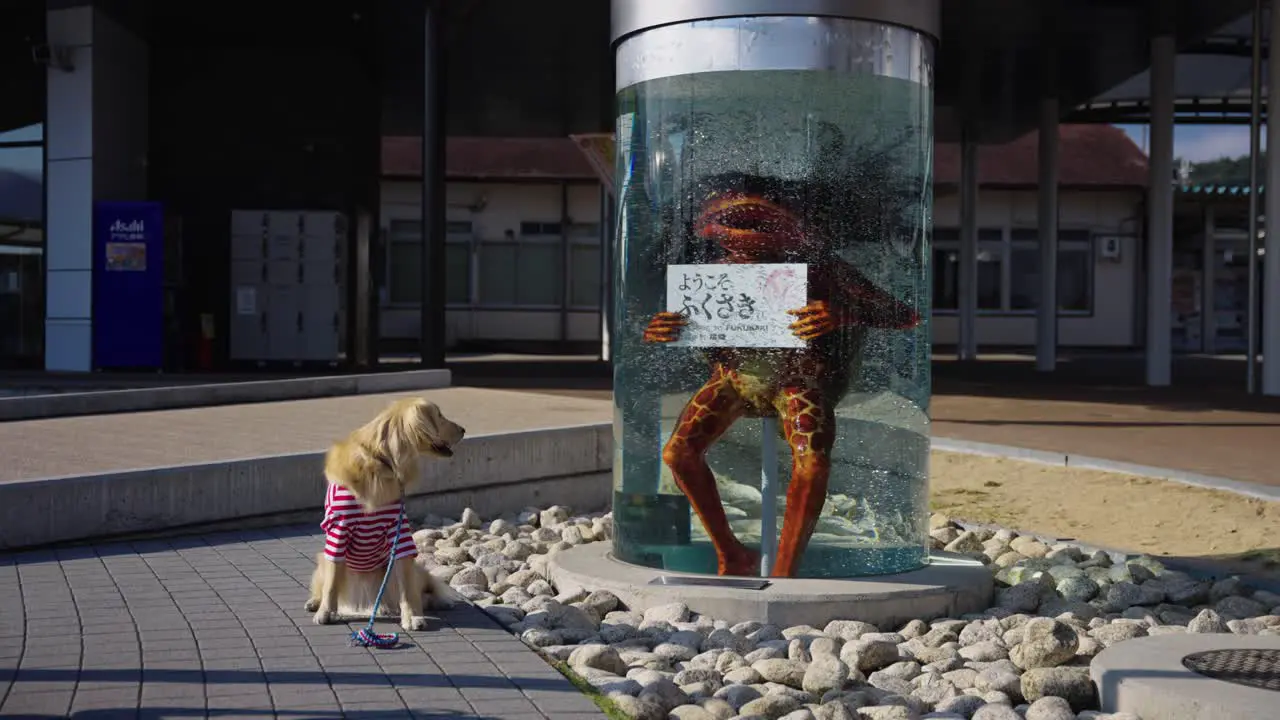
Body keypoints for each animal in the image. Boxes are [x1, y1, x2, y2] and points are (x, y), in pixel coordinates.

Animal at [307, 397, 468, 627]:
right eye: (439, 415)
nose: (463, 429)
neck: (381, 462)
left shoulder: (399, 536)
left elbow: (408, 591)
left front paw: (412, 616)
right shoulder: (338, 532)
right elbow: (331, 584)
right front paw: (325, 612)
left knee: (422, 589)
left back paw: (438, 601)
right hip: (324, 559)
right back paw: (314, 602)